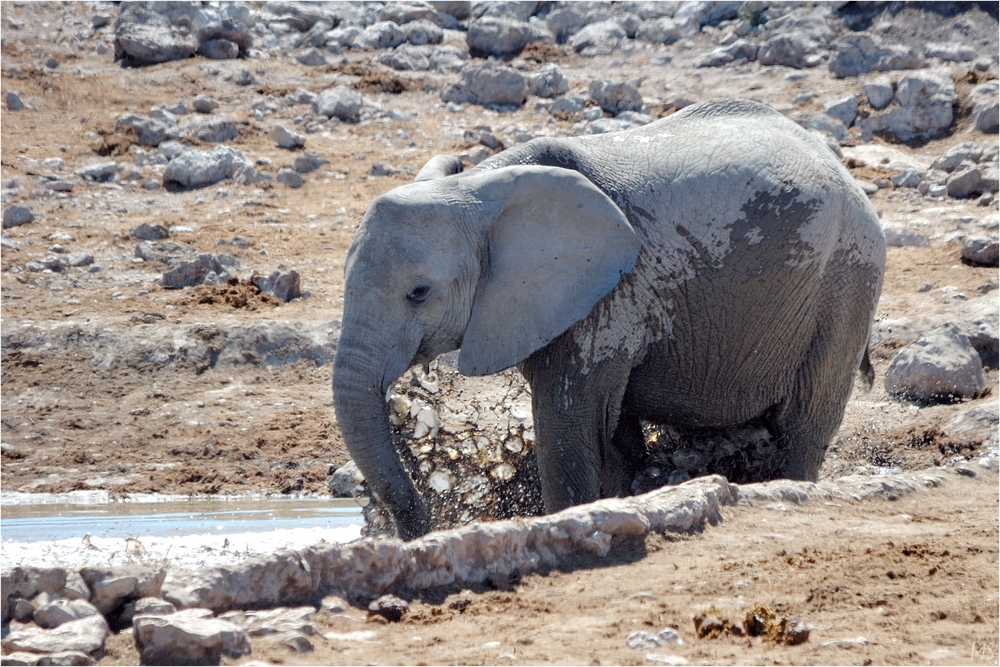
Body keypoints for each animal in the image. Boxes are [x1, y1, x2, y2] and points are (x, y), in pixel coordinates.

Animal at [332, 98, 888, 544]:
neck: (479, 187)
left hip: (847, 277)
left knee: (804, 421)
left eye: (418, 293)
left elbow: (568, 432)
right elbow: (614, 440)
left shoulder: (604, 298)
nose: (417, 531)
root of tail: (839, 165)